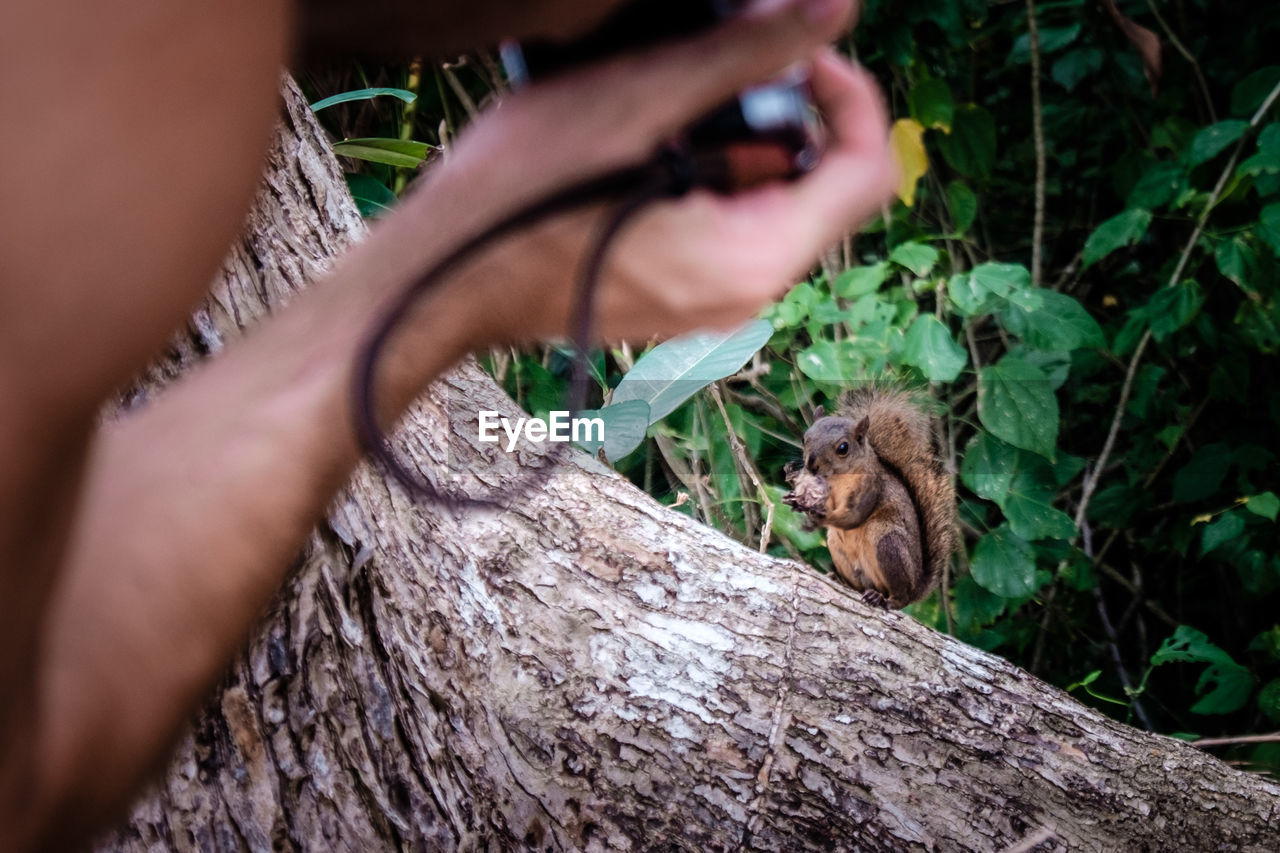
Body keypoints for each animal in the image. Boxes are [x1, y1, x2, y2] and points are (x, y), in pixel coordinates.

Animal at [778, 389, 962, 607]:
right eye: (804, 439)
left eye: (843, 448)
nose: (811, 465)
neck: (836, 480)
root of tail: (916, 586)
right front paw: (795, 494)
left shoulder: (870, 490)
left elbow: (853, 517)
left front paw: (817, 515)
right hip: (837, 548)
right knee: (859, 586)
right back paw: (840, 580)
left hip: (887, 544)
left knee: (900, 595)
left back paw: (885, 599)